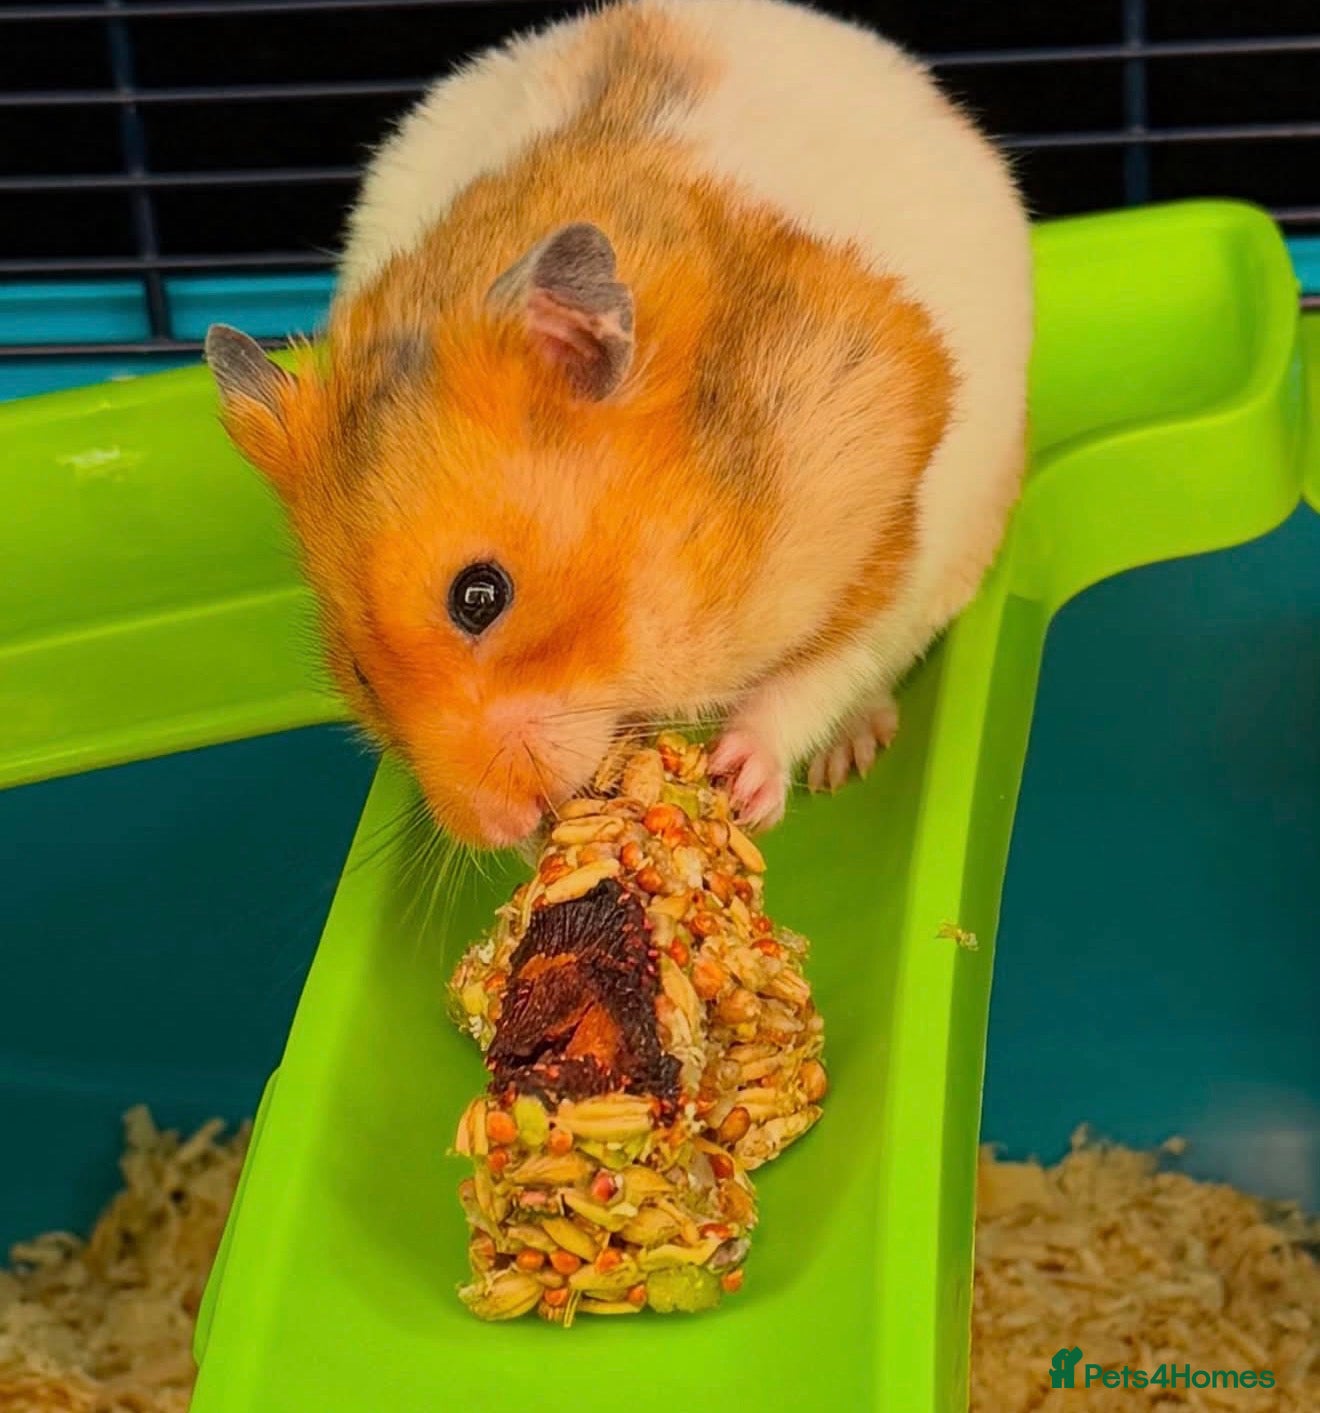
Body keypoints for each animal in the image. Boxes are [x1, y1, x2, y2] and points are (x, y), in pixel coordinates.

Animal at [205, 0, 1032, 849]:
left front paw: (742, 779)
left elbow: (829, 664)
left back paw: (848, 758)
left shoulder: (894, 506)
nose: (498, 827)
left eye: (480, 596)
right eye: (360, 671)